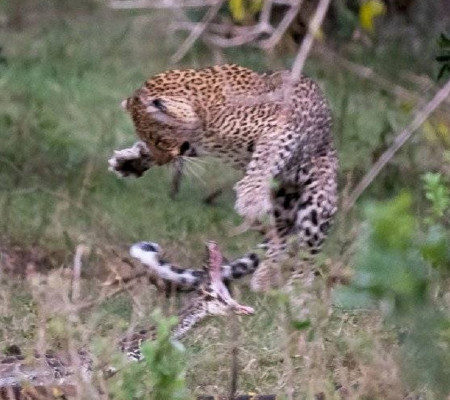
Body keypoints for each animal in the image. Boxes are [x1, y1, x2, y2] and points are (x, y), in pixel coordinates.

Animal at [110, 63, 338, 291]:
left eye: (159, 140)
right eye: (148, 140)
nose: (162, 160)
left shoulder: (281, 130)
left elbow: (264, 158)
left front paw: (250, 196)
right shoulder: (196, 143)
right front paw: (129, 162)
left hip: (317, 204)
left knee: (308, 254)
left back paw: (296, 288)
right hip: (279, 209)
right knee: (277, 238)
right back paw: (263, 278)